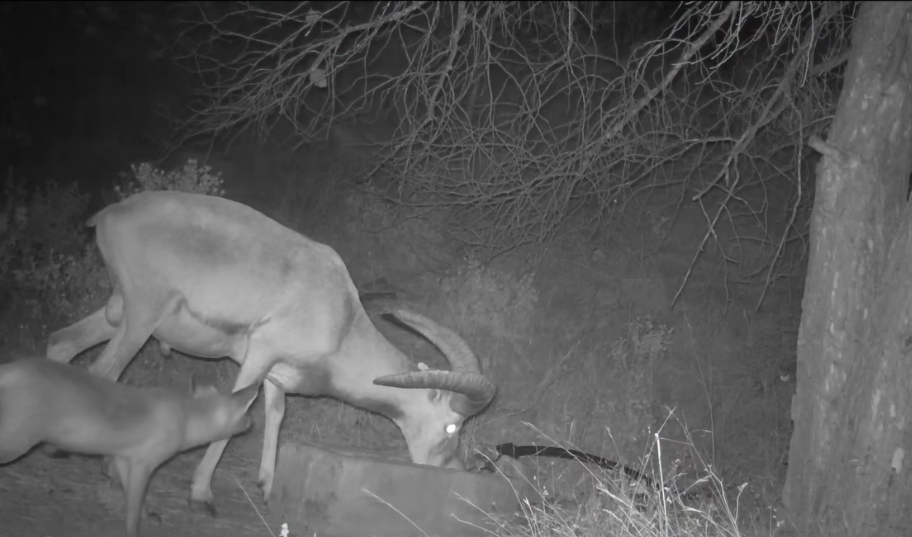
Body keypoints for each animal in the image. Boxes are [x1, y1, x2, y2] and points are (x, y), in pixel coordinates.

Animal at [0, 353, 260, 537]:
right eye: (245, 411)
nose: (252, 423)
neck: (185, 417)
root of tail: (10, 369)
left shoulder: (124, 459)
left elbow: (135, 501)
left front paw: (149, 515)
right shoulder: (143, 464)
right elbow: (133, 512)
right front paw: (135, 530)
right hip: (15, 442)